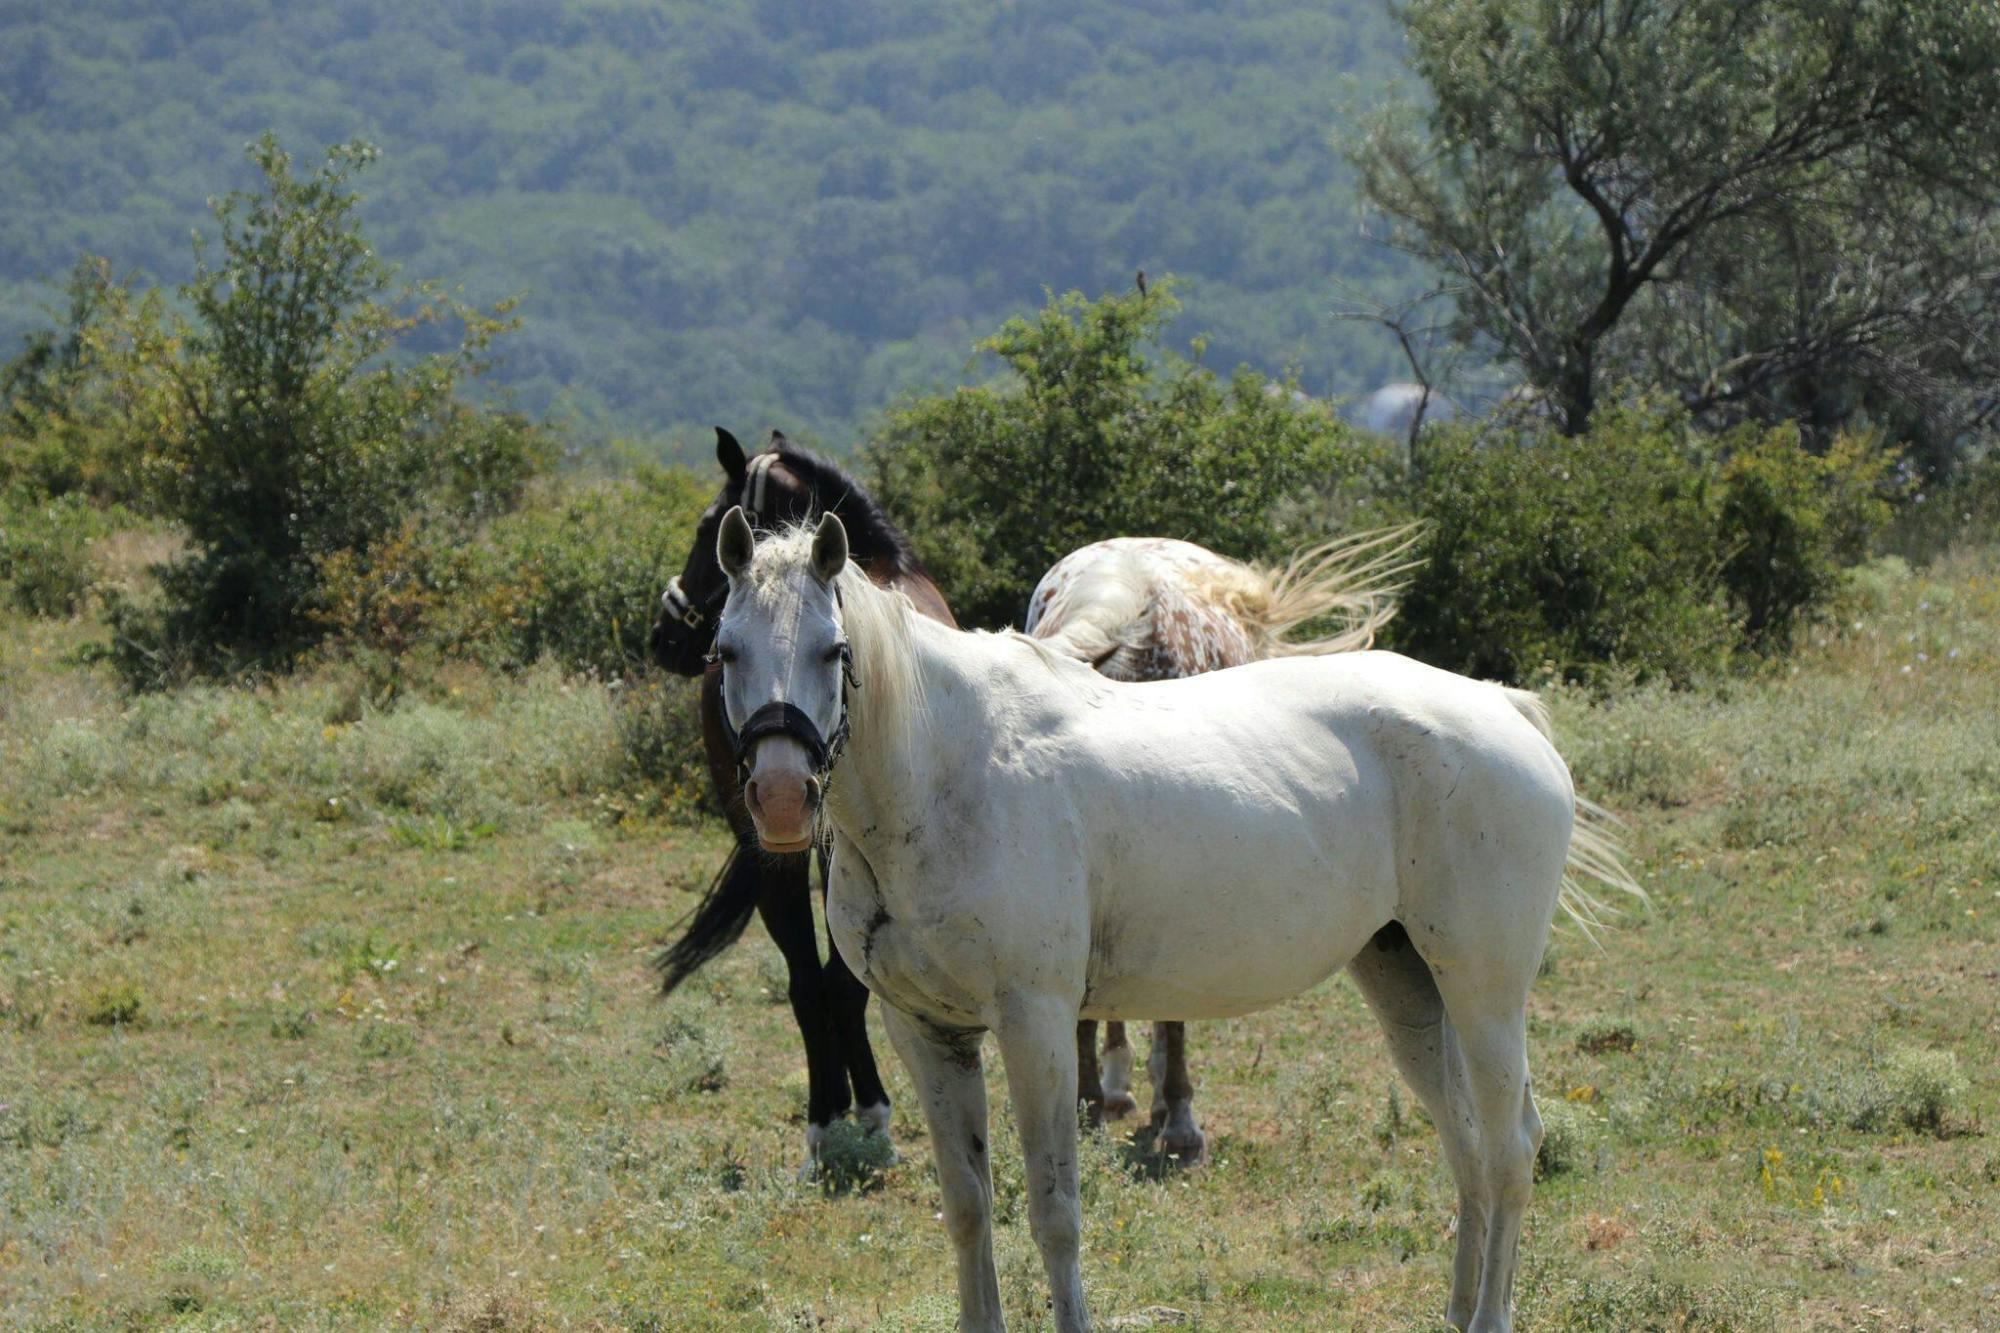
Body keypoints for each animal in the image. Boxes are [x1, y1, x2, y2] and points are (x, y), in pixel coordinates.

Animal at [644, 426, 948, 1160]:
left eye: (706, 526)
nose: (664, 636)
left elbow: (842, 978)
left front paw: (865, 1110)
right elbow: (823, 980)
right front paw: (842, 1112)